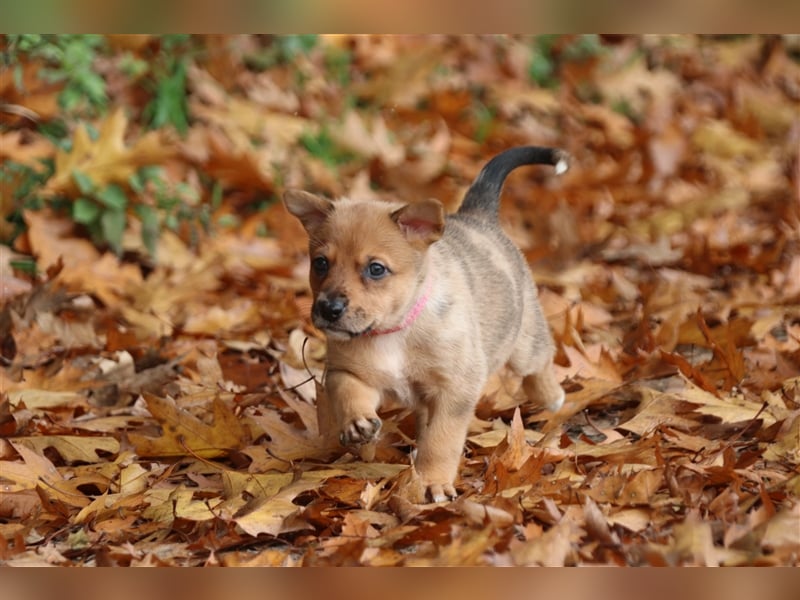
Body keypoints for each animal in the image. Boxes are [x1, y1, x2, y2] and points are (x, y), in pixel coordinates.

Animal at [284, 146, 564, 502]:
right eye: (320, 263)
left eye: (376, 269)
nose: (328, 308)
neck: (393, 331)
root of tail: (478, 216)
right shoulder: (347, 370)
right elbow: (347, 392)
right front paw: (357, 424)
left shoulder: (455, 390)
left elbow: (441, 441)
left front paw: (433, 481)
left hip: (524, 341)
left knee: (540, 362)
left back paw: (552, 397)